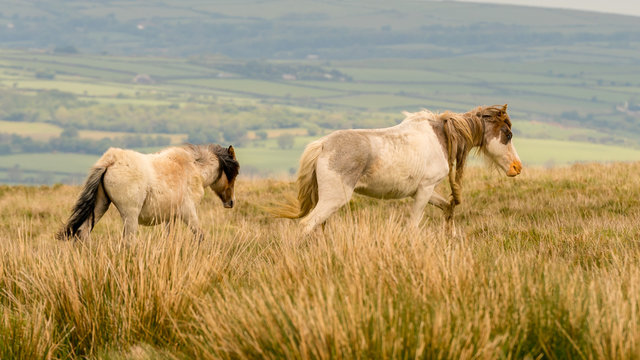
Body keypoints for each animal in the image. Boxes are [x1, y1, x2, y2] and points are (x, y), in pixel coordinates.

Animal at [58, 144, 239, 242]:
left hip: (100, 206)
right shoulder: (188, 212)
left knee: (83, 231)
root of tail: (111, 161)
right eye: (235, 173)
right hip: (130, 215)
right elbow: (200, 235)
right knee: (128, 241)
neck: (193, 168)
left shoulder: (170, 218)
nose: (230, 202)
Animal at [274, 103, 520, 236]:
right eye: (508, 134)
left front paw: (450, 236)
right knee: (308, 225)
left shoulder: (424, 191)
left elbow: (448, 207)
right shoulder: (424, 190)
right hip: (333, 199)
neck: (441, 137)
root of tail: (323, 145)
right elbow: (412, 226)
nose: (517, 167)